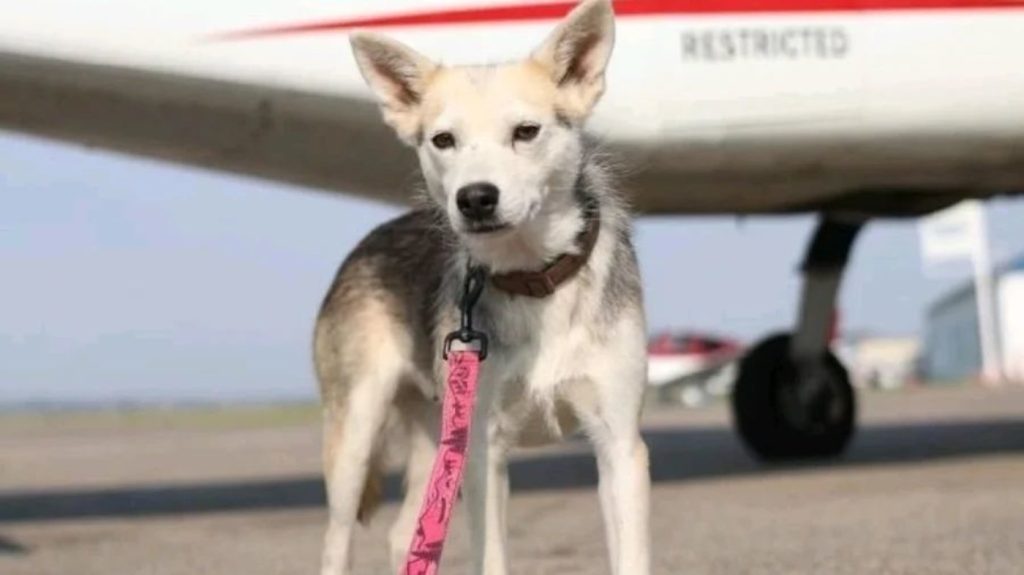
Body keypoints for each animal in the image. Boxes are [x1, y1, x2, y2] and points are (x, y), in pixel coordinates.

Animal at [313, 2, 647, 568]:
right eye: (443, 140)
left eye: (527, 132)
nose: (474, 198)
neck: (535, 281)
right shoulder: (481, 454)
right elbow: (490, 559)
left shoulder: (620, 444)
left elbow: (631, 558)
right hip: (355, 437)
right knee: (336, 544)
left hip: (436, 434)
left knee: (404, 535)